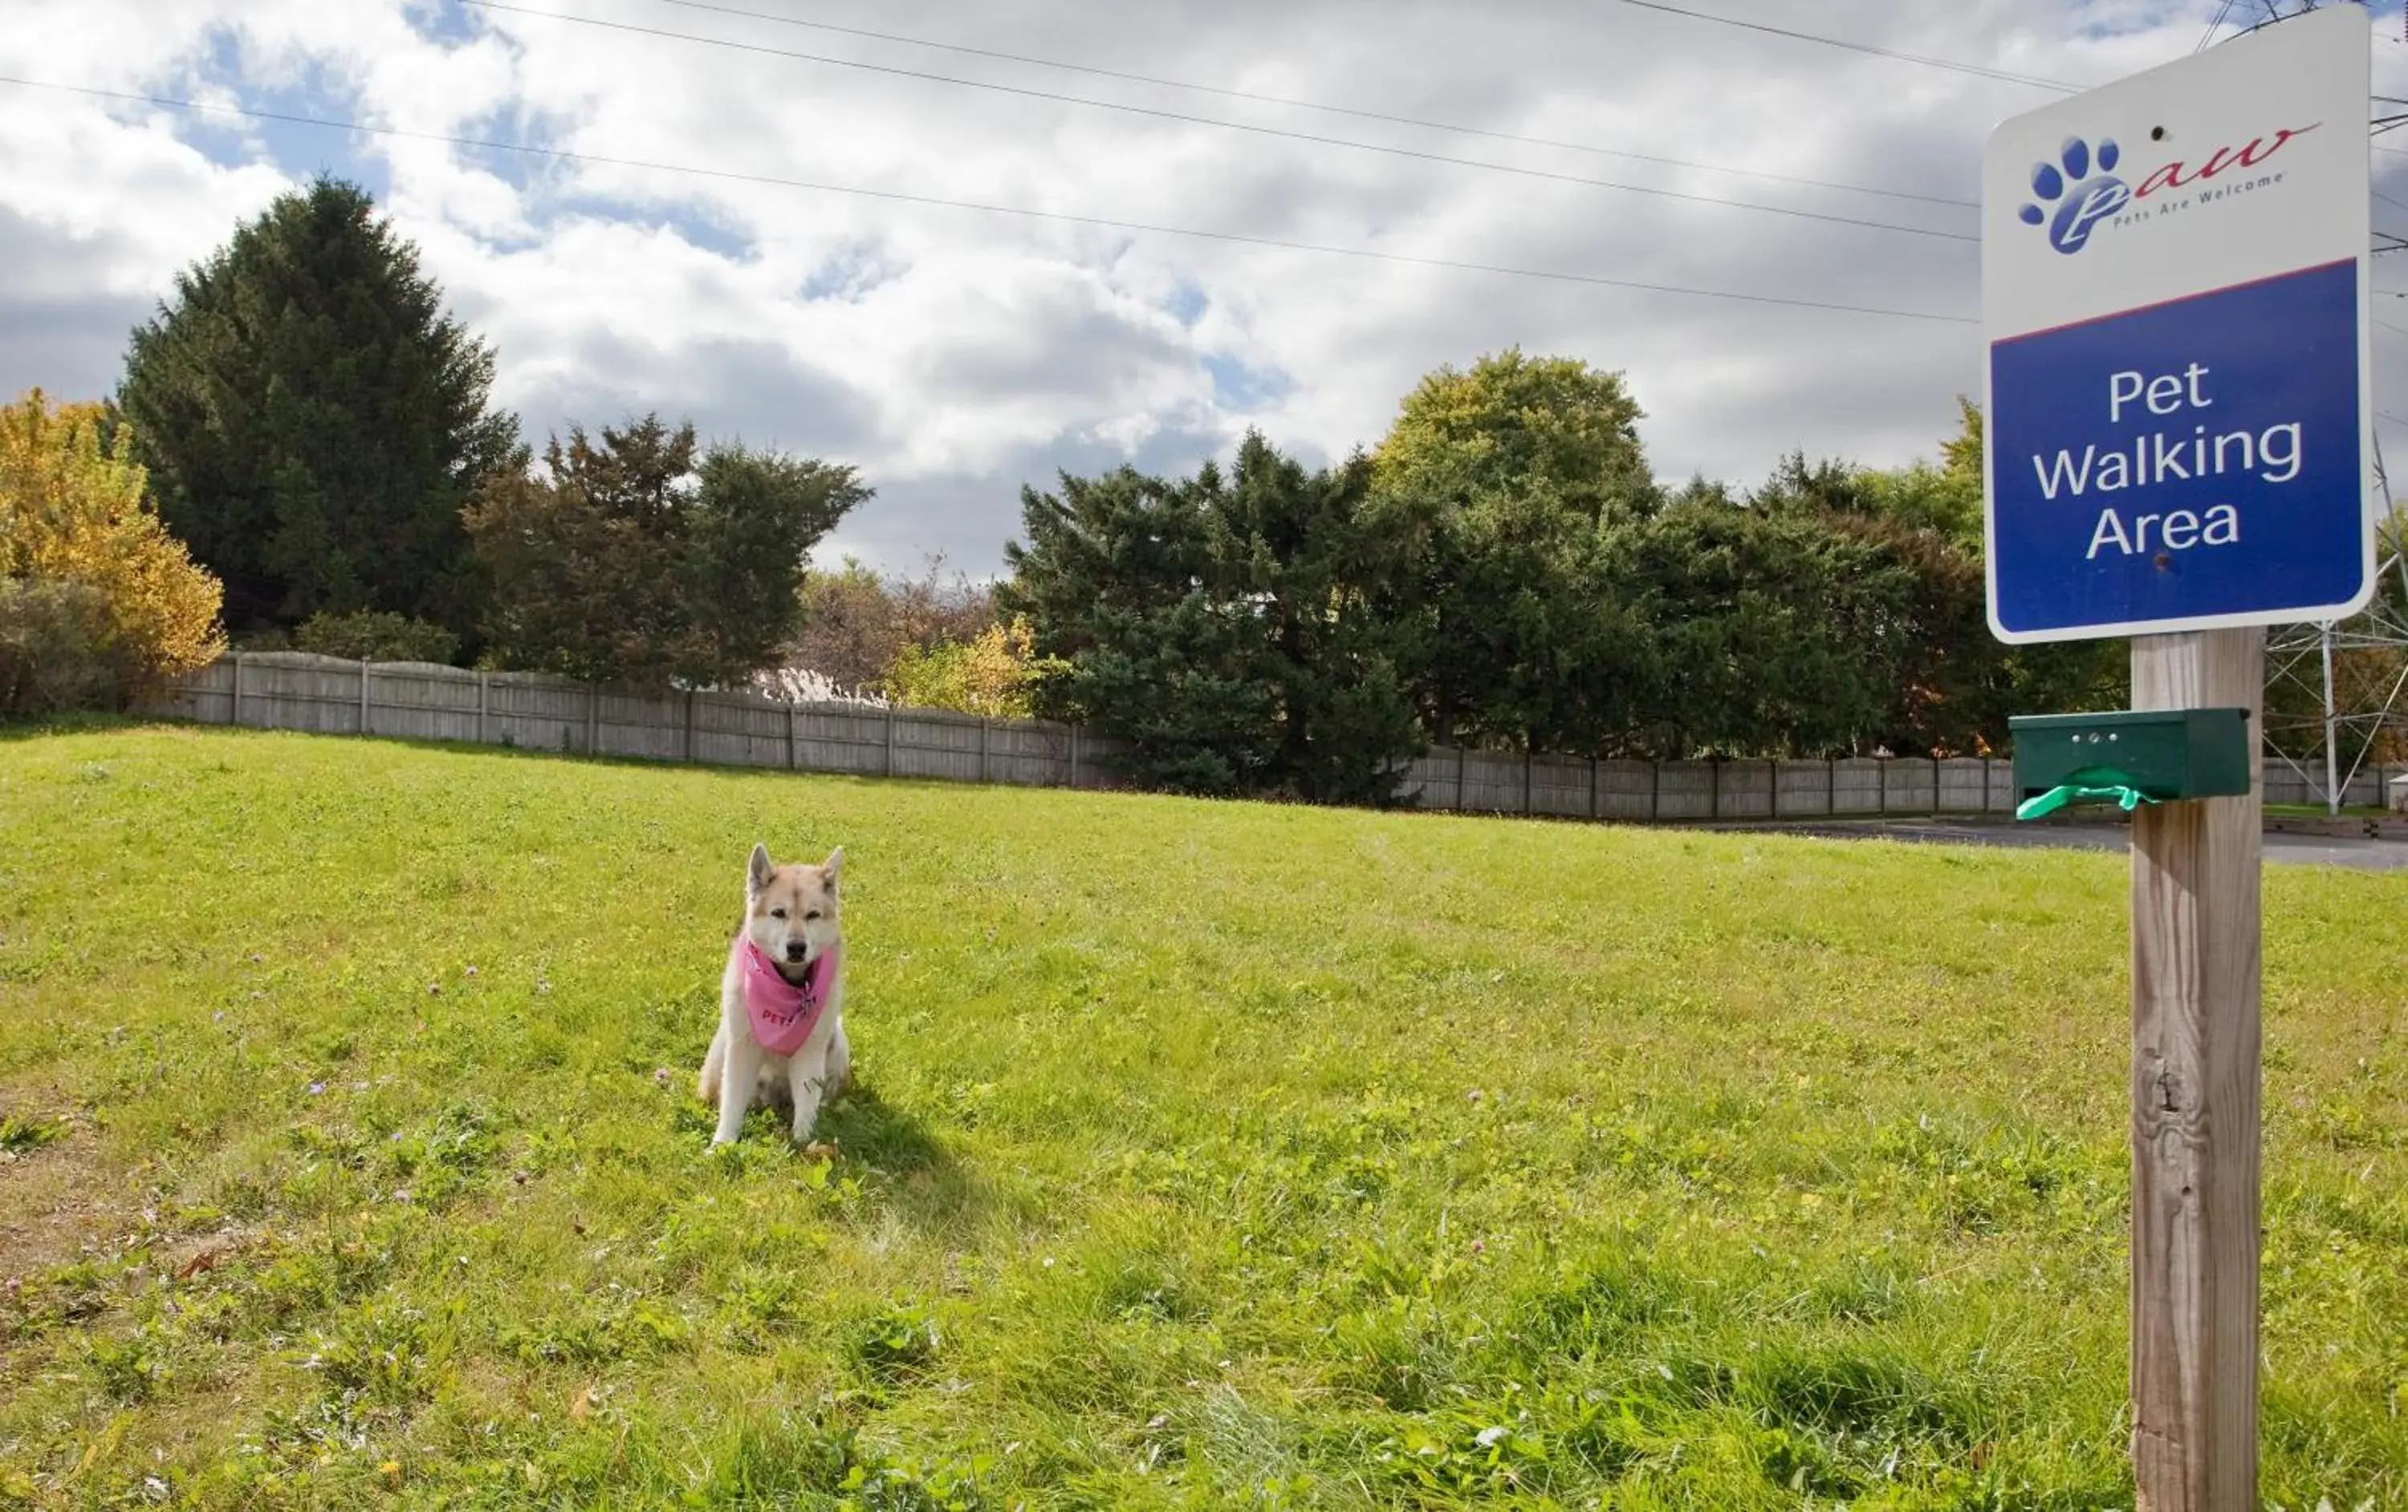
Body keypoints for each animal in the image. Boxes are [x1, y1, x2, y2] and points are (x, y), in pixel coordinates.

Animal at [694, 838, 852, 1146]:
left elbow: (807, 1102)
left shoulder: (811, 1050)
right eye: (779, 913)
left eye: (813, 915)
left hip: (837, 1040)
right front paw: (722, 1143)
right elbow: (731, 1103)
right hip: (722, 1044)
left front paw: (803, 1142)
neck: (789, 982)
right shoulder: (742, 1047)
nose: (797, 947)